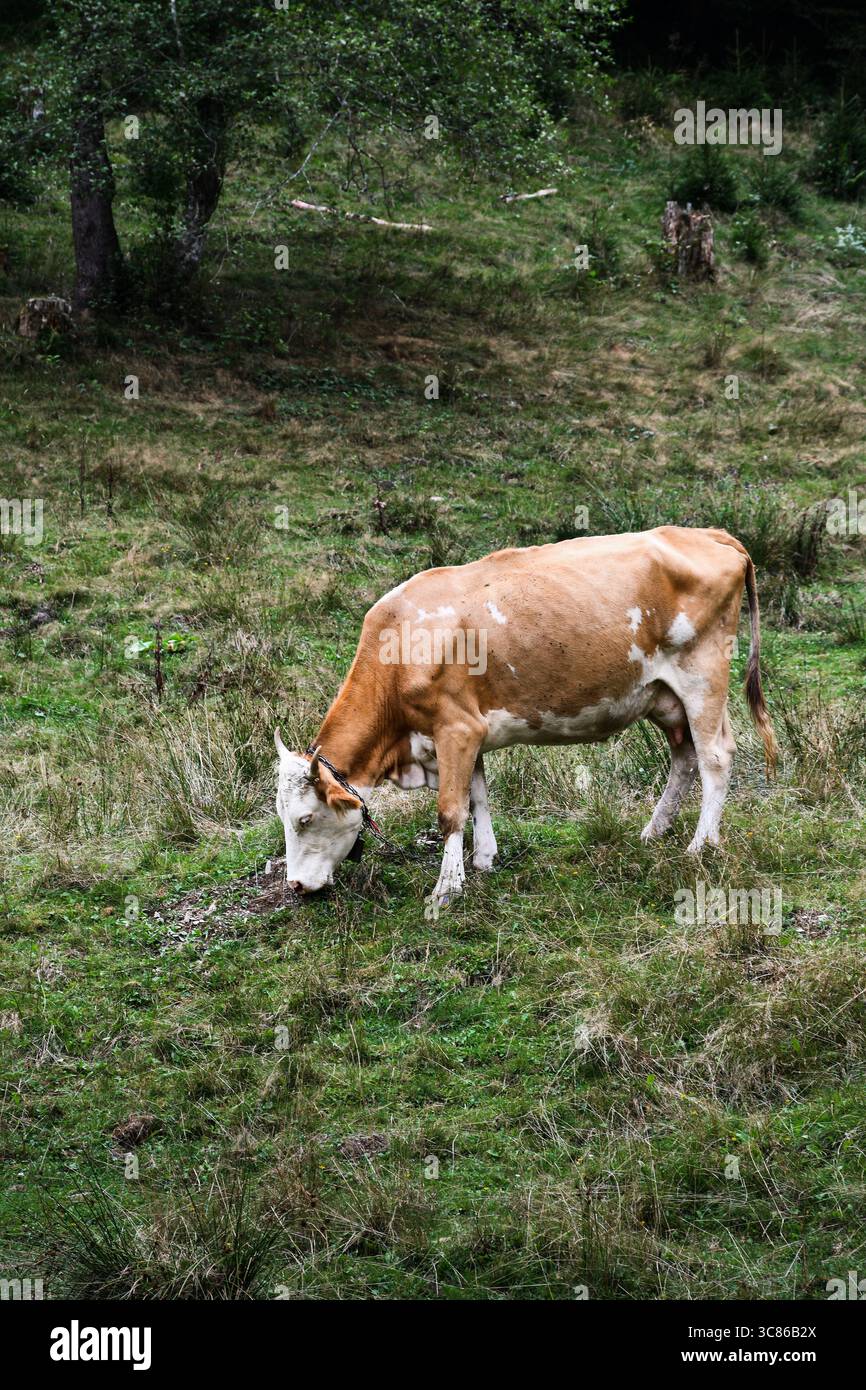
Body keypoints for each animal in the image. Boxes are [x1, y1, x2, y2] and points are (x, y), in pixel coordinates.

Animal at [275, 526, 778, 906]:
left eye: (304, 819)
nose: (295, 885)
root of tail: (706, 533)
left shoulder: (456, 728)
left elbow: (450, 811)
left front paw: (445, 890)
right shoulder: (468, 732)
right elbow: (477, 796)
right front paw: (483, 860)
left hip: (702, 677)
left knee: (715, 756)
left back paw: (700, 845)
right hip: (662, 696)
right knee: (685, 757)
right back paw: (654, 831)